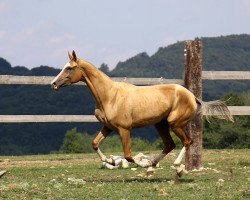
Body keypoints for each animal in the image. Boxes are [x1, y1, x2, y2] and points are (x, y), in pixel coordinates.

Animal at [50, 50, 232, 177]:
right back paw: (151, 169)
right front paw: (110, 161)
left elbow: (128, 155)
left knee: (187, 141)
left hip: (175, 124)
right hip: (160, 125)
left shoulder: (124, 129)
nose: (54, 84)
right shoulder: (108, 127)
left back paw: (177, 168)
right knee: (170, 145)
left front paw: (139, 163)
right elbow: (95, 143)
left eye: (69, 68)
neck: (110, 96)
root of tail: (193, 96)